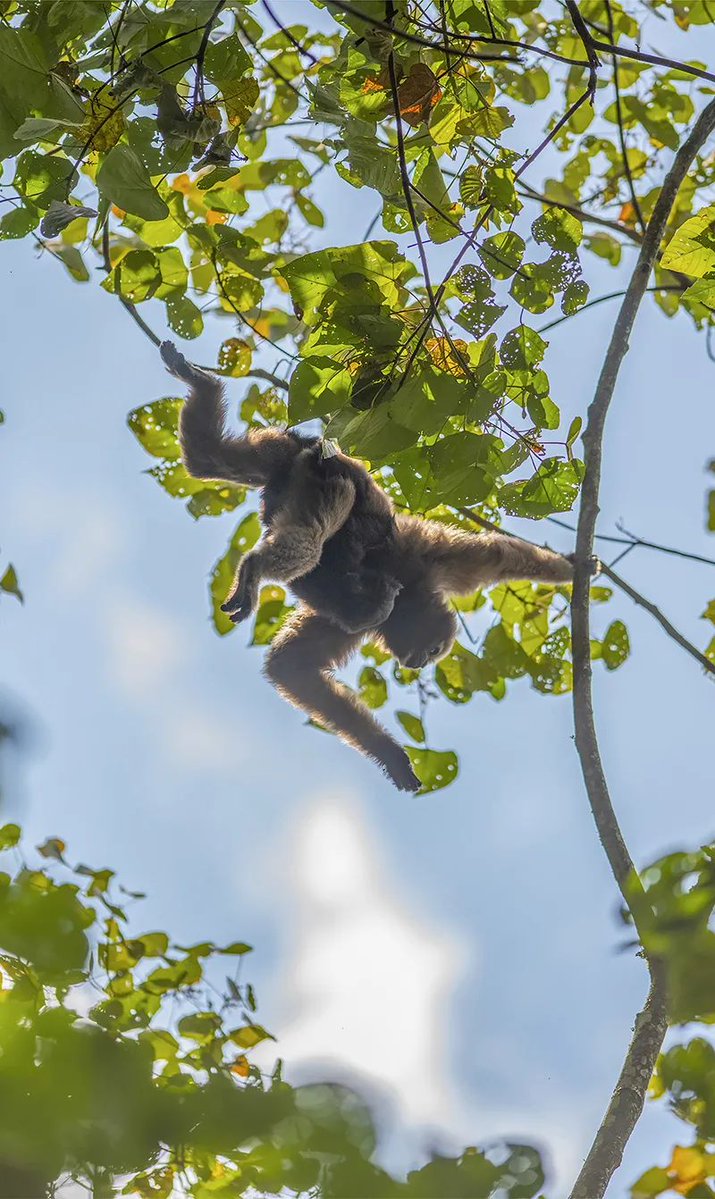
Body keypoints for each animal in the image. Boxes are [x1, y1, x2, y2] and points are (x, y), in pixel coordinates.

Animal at [161, 341, 578, 792]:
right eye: (434, 650)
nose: (418, 663)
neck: (410, 588)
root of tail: (319, 451)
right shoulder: (415, 579)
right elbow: (494, 558)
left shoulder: (424, 572)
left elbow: (293, 669)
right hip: (326, 480)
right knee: (320, 528)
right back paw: (256, 567)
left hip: (281, 452)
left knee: (209, 460)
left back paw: (201, 385)